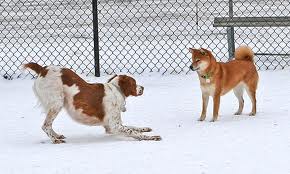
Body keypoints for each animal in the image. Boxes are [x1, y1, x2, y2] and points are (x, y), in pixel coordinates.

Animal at [24, 62, 161, 143]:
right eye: (134, 82)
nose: (142, 88)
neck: (116, 89)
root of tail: (43, 69)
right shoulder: (114, 126)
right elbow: (133, 132)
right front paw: (152, 137)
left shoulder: (110, 126)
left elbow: (133, 127)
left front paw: (145, 128)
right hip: (56, 103)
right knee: (45, 125)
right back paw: (55, 140)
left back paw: (57, 136)